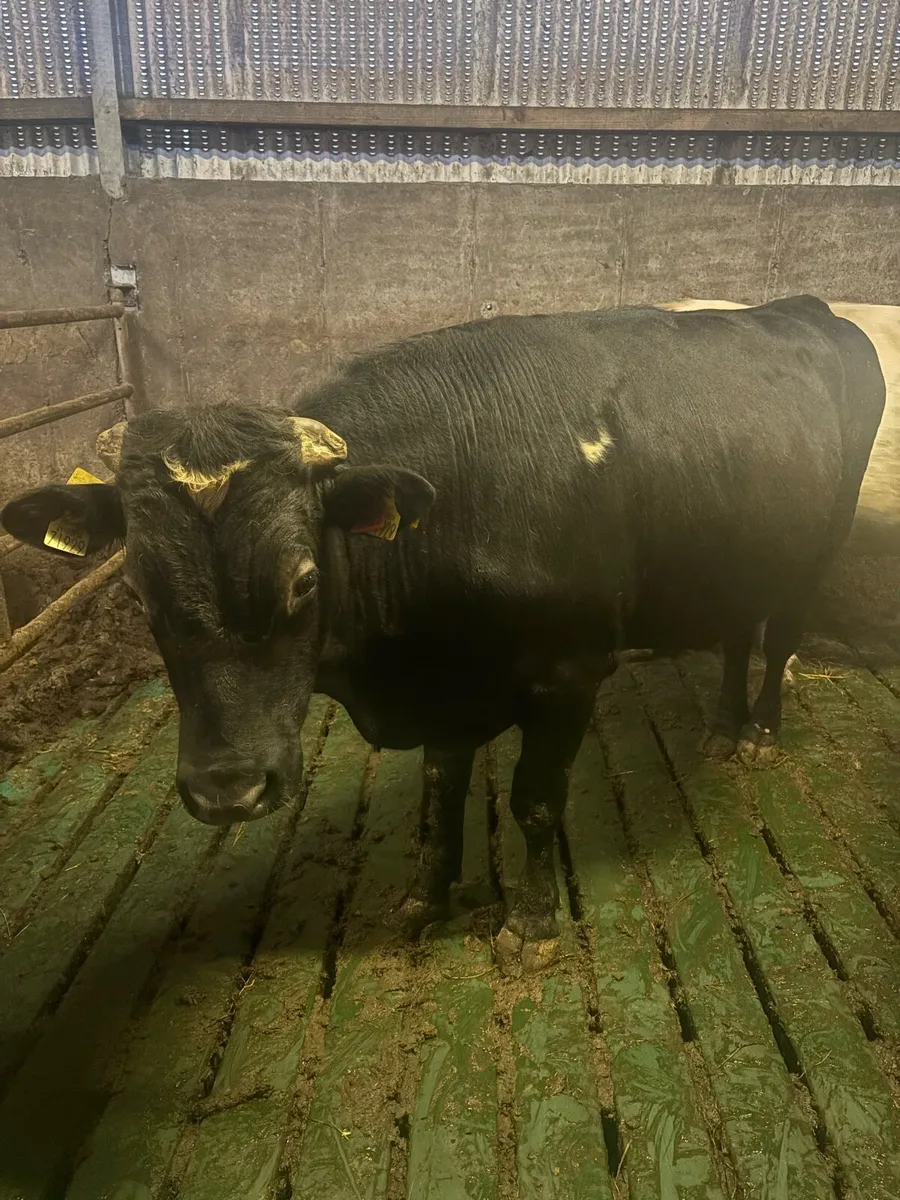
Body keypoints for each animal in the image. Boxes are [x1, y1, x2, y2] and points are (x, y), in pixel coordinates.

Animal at [1, 296, 885, 971]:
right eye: (134, 588)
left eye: (306, 580)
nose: (229, 790)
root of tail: (802, 306)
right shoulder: (445, 684)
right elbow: (439, 793)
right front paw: (424, 897)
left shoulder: (569, 674)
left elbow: (534, 803)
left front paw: (530, 923)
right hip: (740, 559)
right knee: (738, 634)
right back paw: (723, 727)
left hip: (819, 546)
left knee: (778, 637)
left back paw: (761, 729)